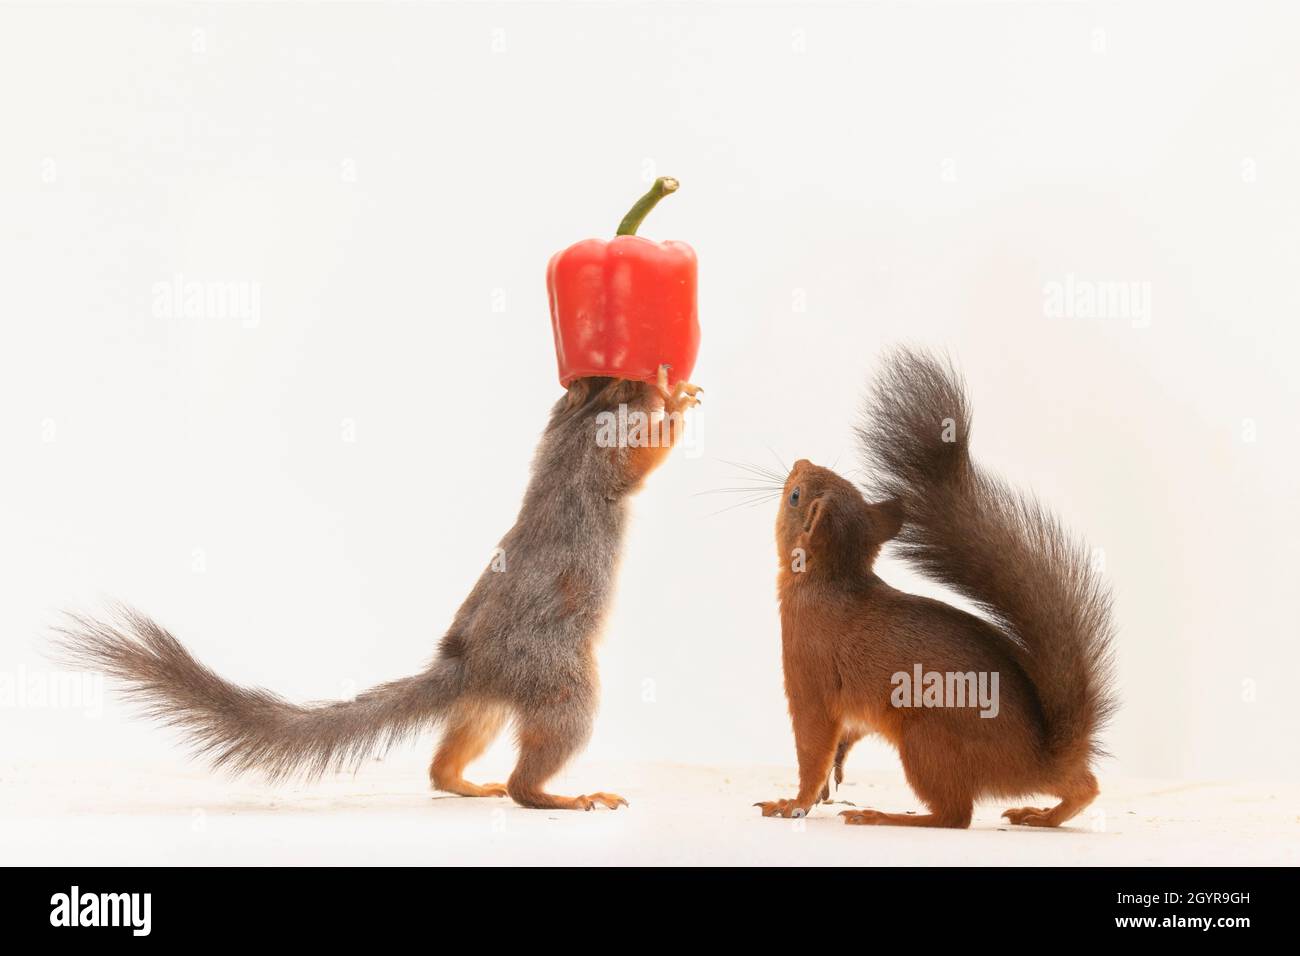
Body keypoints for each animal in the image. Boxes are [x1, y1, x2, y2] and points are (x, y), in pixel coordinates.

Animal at [56, 365, 701, 812]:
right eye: (623, 380)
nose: (643, 375)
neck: (573, 424)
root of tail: (472, 666)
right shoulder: (601, 461)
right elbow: (644, 457)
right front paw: (672, 397)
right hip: (563, 686)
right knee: (528, 780)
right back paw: (564, 797)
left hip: (487, 705)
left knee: (443, 765)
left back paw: (467, 784)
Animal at [756, 347, 1115, 828]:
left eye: (795, 495)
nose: (800, 462)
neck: (830, 580)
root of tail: (1039, 760)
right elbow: (846, 736)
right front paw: (834, 774)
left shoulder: (809, 677)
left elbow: (813, 748)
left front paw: (792, 802)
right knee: (1082, 786)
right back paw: (1045, 815)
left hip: (925, 738)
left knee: (954, 815)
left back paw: (887, 816)